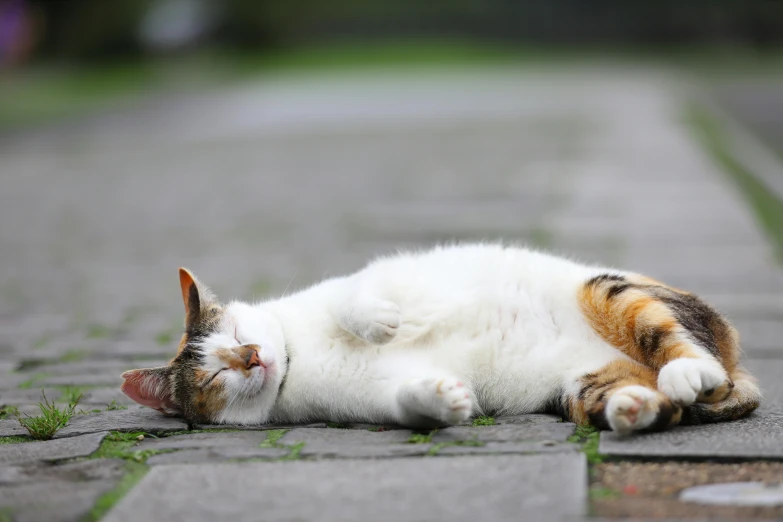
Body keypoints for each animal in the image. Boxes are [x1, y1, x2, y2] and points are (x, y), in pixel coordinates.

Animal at [119, 243, 764, 430]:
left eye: (236, 330)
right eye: (214, 374)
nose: (253, 358)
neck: (300, 358)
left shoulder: (362, 279)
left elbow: (354, 299)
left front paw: (381, 323)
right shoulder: (373, 400)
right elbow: (407, 401)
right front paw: (445, 400)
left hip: (609, 291)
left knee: (689, 351)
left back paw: (689, 371)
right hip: (584, 386)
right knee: (656, 399)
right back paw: (637, 408)